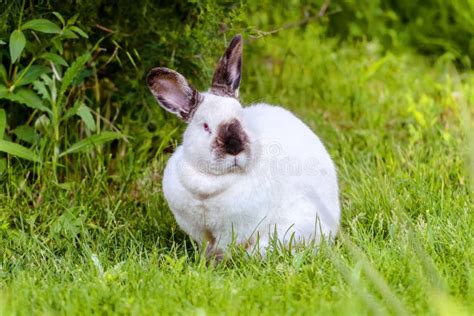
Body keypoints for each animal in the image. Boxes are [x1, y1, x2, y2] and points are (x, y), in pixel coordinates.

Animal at [146, 34, 338, 256]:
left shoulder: (234, 230)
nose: (235, 148)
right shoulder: (197, 229)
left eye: (242, 117)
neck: (209, 185)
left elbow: (224, 248)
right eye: (206, 126)